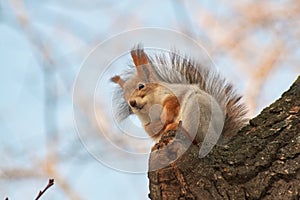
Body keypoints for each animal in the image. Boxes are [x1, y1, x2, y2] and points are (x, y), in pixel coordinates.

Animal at [111, 45, 247, 156]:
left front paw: (165, 118)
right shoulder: (146, 123)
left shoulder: (174, 93)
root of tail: (217, 138)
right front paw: (157, 126)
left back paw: (176, 126)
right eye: (125, 99)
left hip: (196, 111)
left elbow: (172, 102)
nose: (132, 103)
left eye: (141, 86)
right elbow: (151, 131)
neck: (150, 109)